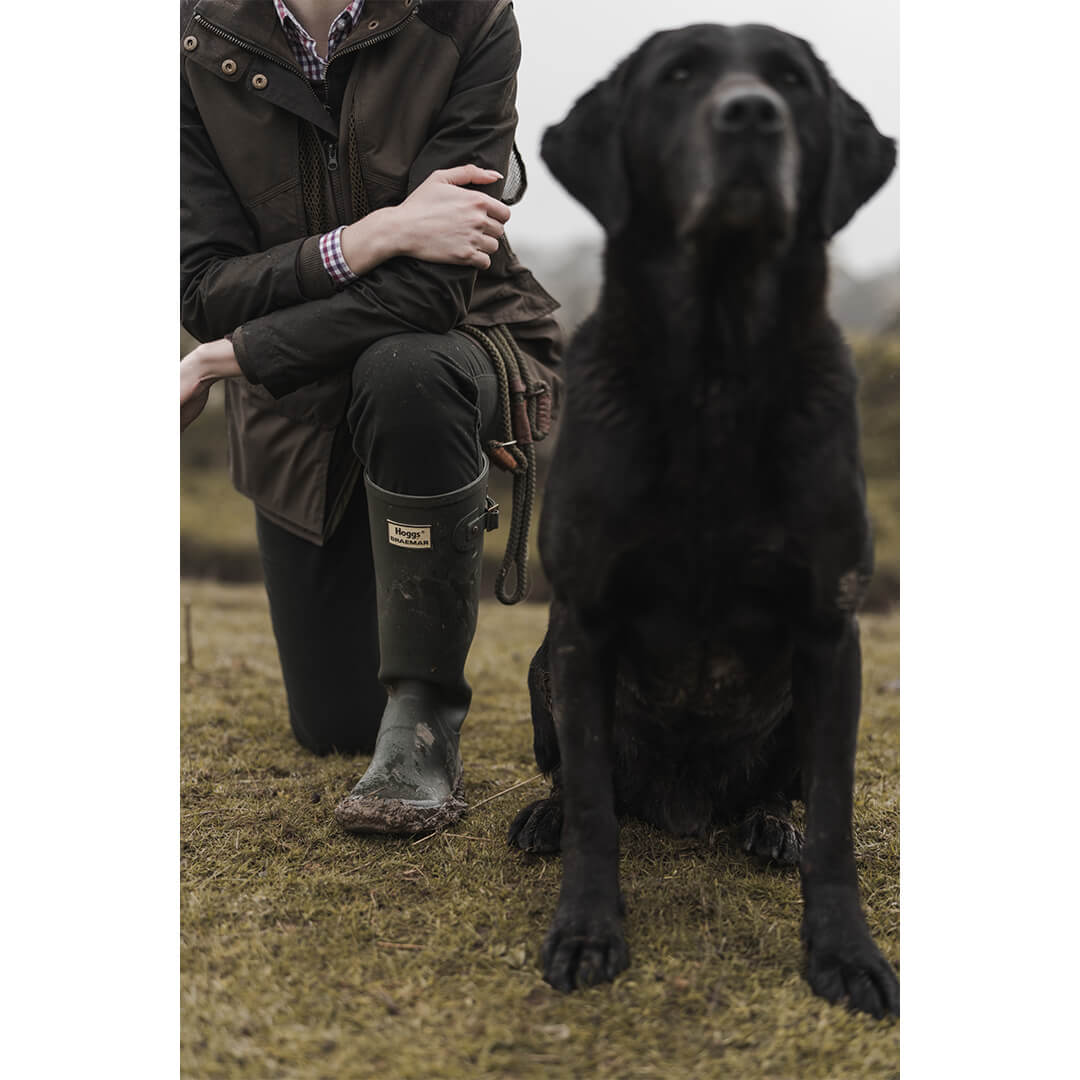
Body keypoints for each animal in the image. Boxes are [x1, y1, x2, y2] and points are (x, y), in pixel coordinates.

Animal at [507, 24, 899, 1018]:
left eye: (791, 82)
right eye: (678, 76)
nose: (751, 115)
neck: (716, 377)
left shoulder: (831, 634)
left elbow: (834, 822)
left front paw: (846, 956)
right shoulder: (584, 624)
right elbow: (595, 810)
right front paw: (586, 932)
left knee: (783, 799)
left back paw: (764, 823)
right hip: (541, 671)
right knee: (579, 780)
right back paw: (543, 814)